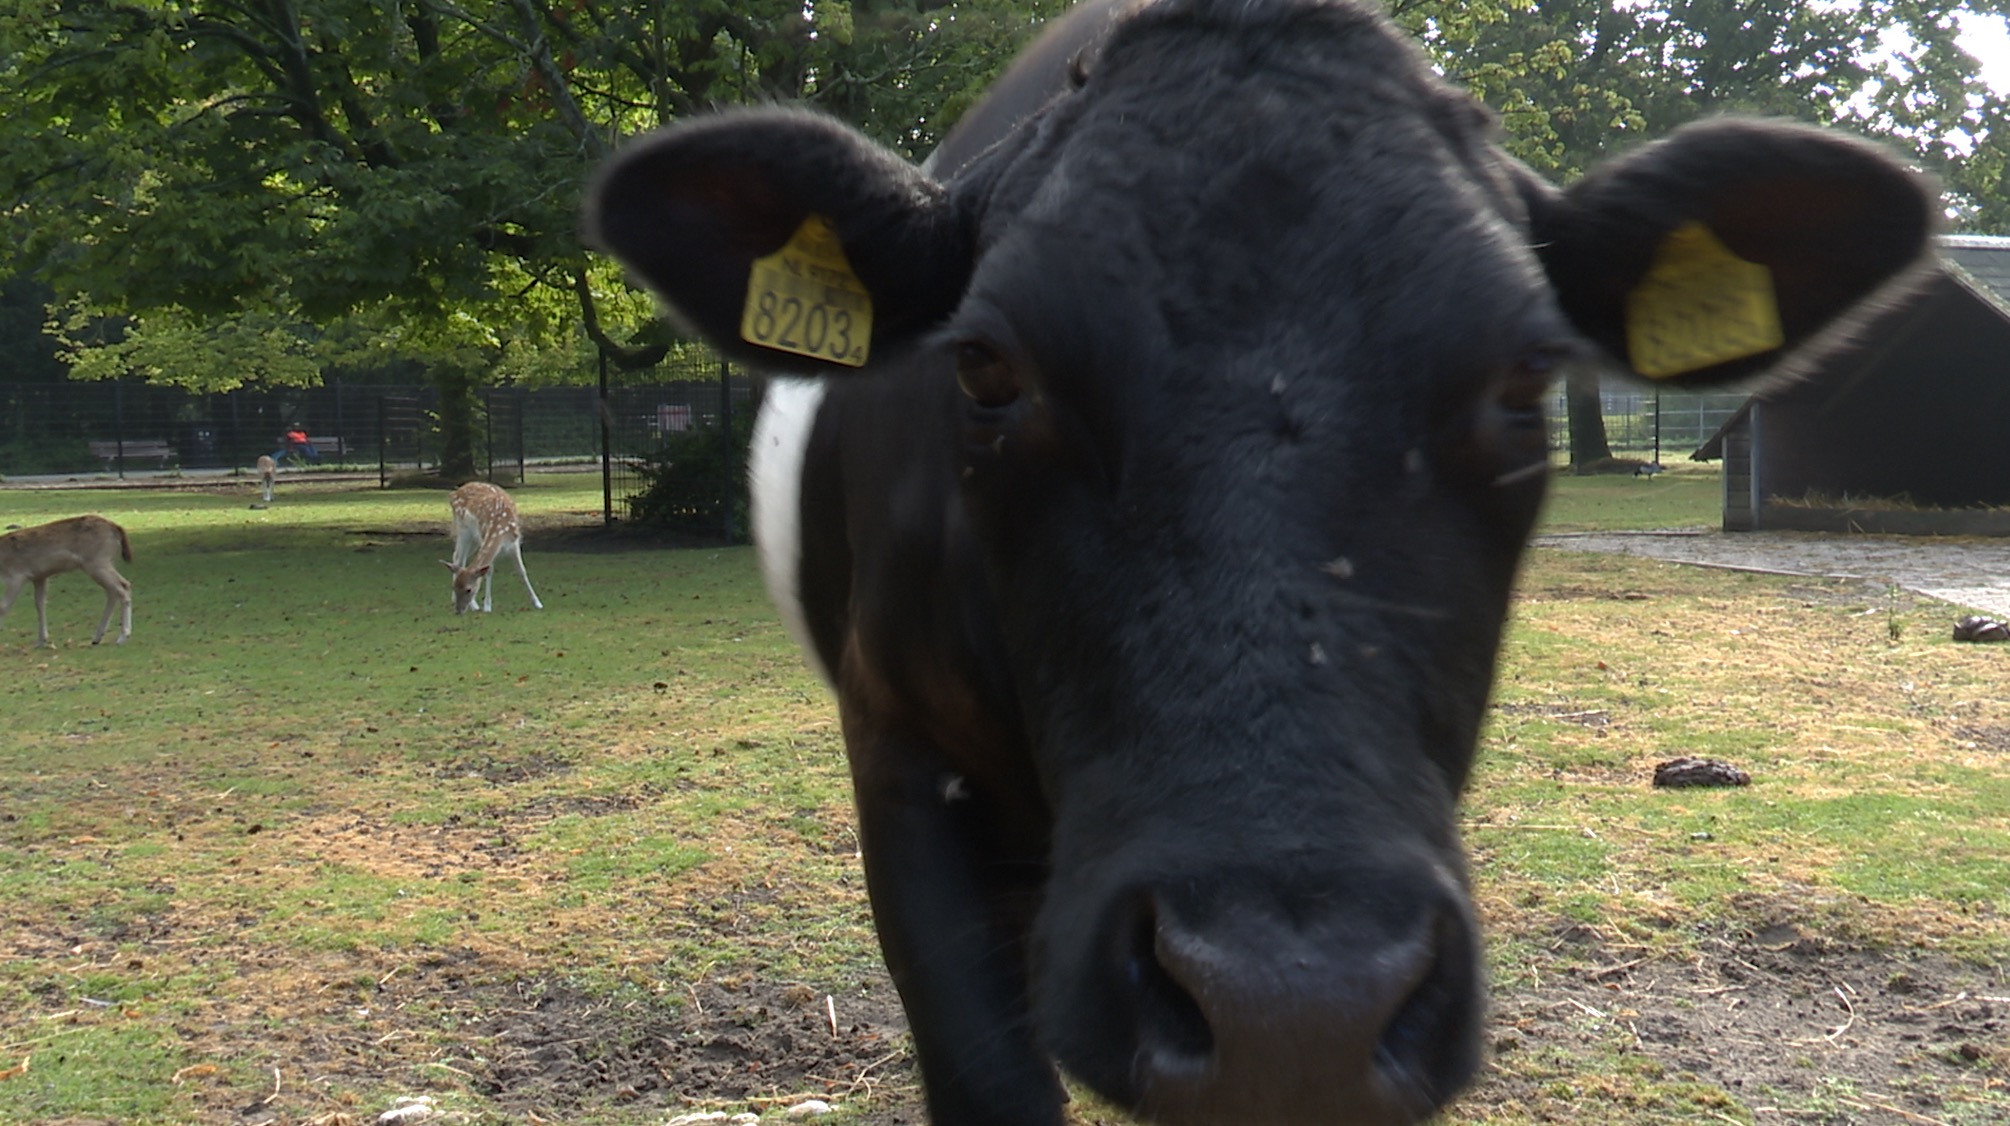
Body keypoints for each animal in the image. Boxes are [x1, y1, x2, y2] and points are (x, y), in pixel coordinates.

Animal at [0, 514, 134, 647]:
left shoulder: (16, 575)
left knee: (123, 586)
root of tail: (116, 528)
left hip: (97, 561)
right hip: (105, 562)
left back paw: (123, 636)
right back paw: (97, 637)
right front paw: (41, 641)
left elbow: (3, 606)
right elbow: (40, 604)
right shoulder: (39, 576)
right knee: (112, 591)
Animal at [438, 478, 538, 611]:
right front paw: (487, 606)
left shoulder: (514, 542)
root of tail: (454, 493)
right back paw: (472, 605)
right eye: (454, 587)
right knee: (459, 557)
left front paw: (537, 603)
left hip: (473, 539)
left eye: (468, 589)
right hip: (463, 530)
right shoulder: (483, 537)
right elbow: (489, 570)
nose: (458, 610)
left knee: (457, 556)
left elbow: (522, 570)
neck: (500, 531)